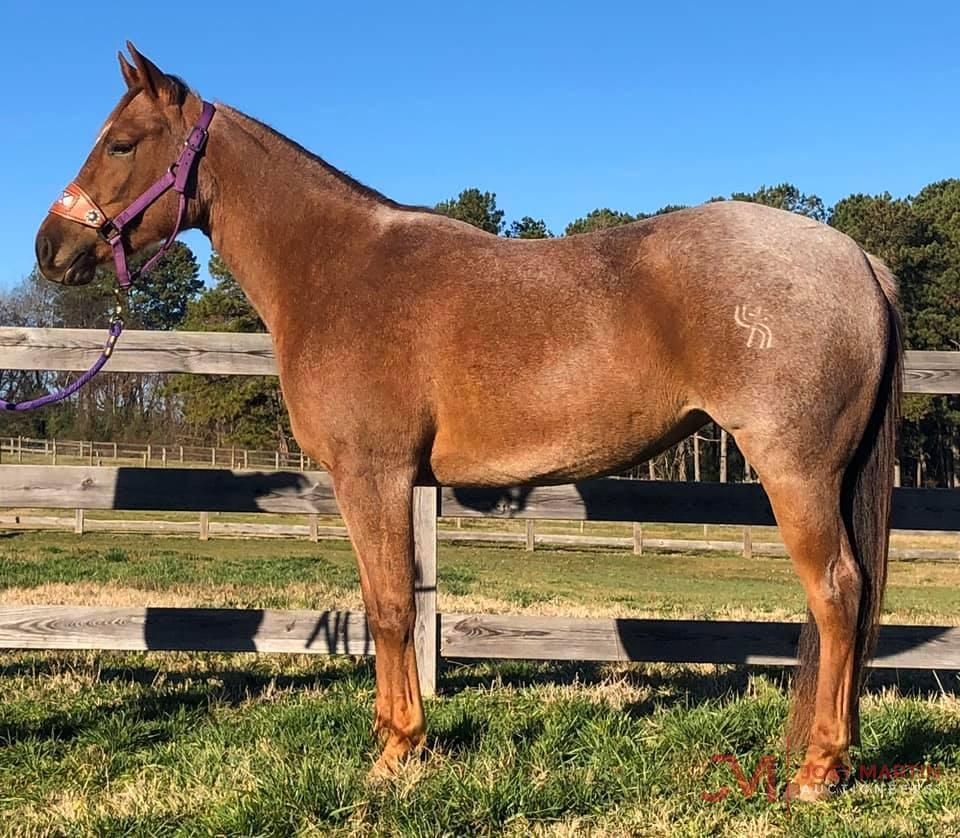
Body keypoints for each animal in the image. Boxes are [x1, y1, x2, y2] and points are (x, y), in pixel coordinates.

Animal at [35, 42, 900, 804]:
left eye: (120, 143)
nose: (49, 248)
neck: (335, 269)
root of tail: (857, 259)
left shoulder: (374, 474)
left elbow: (390, 607)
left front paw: (396, 754)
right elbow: (391, 603)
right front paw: (399, 739)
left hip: (795, 469)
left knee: (837, 591)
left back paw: (818, 771)